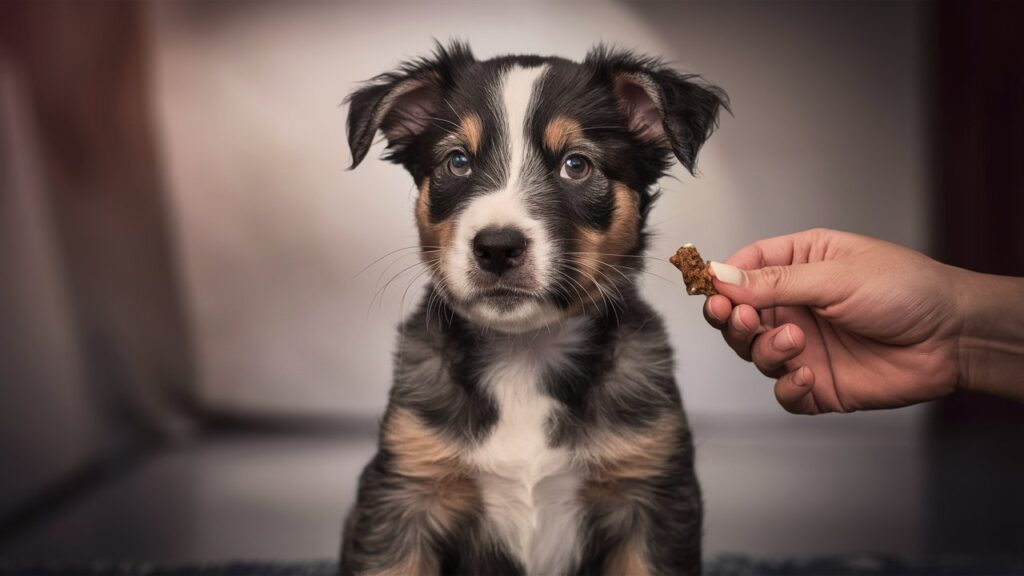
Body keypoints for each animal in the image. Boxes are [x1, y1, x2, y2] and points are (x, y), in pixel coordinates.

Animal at [344, 41, 729, 573]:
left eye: (576, 165)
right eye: (457, 162)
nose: (497, 248)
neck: (525, 354)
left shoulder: (653, 498)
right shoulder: (403, 494)